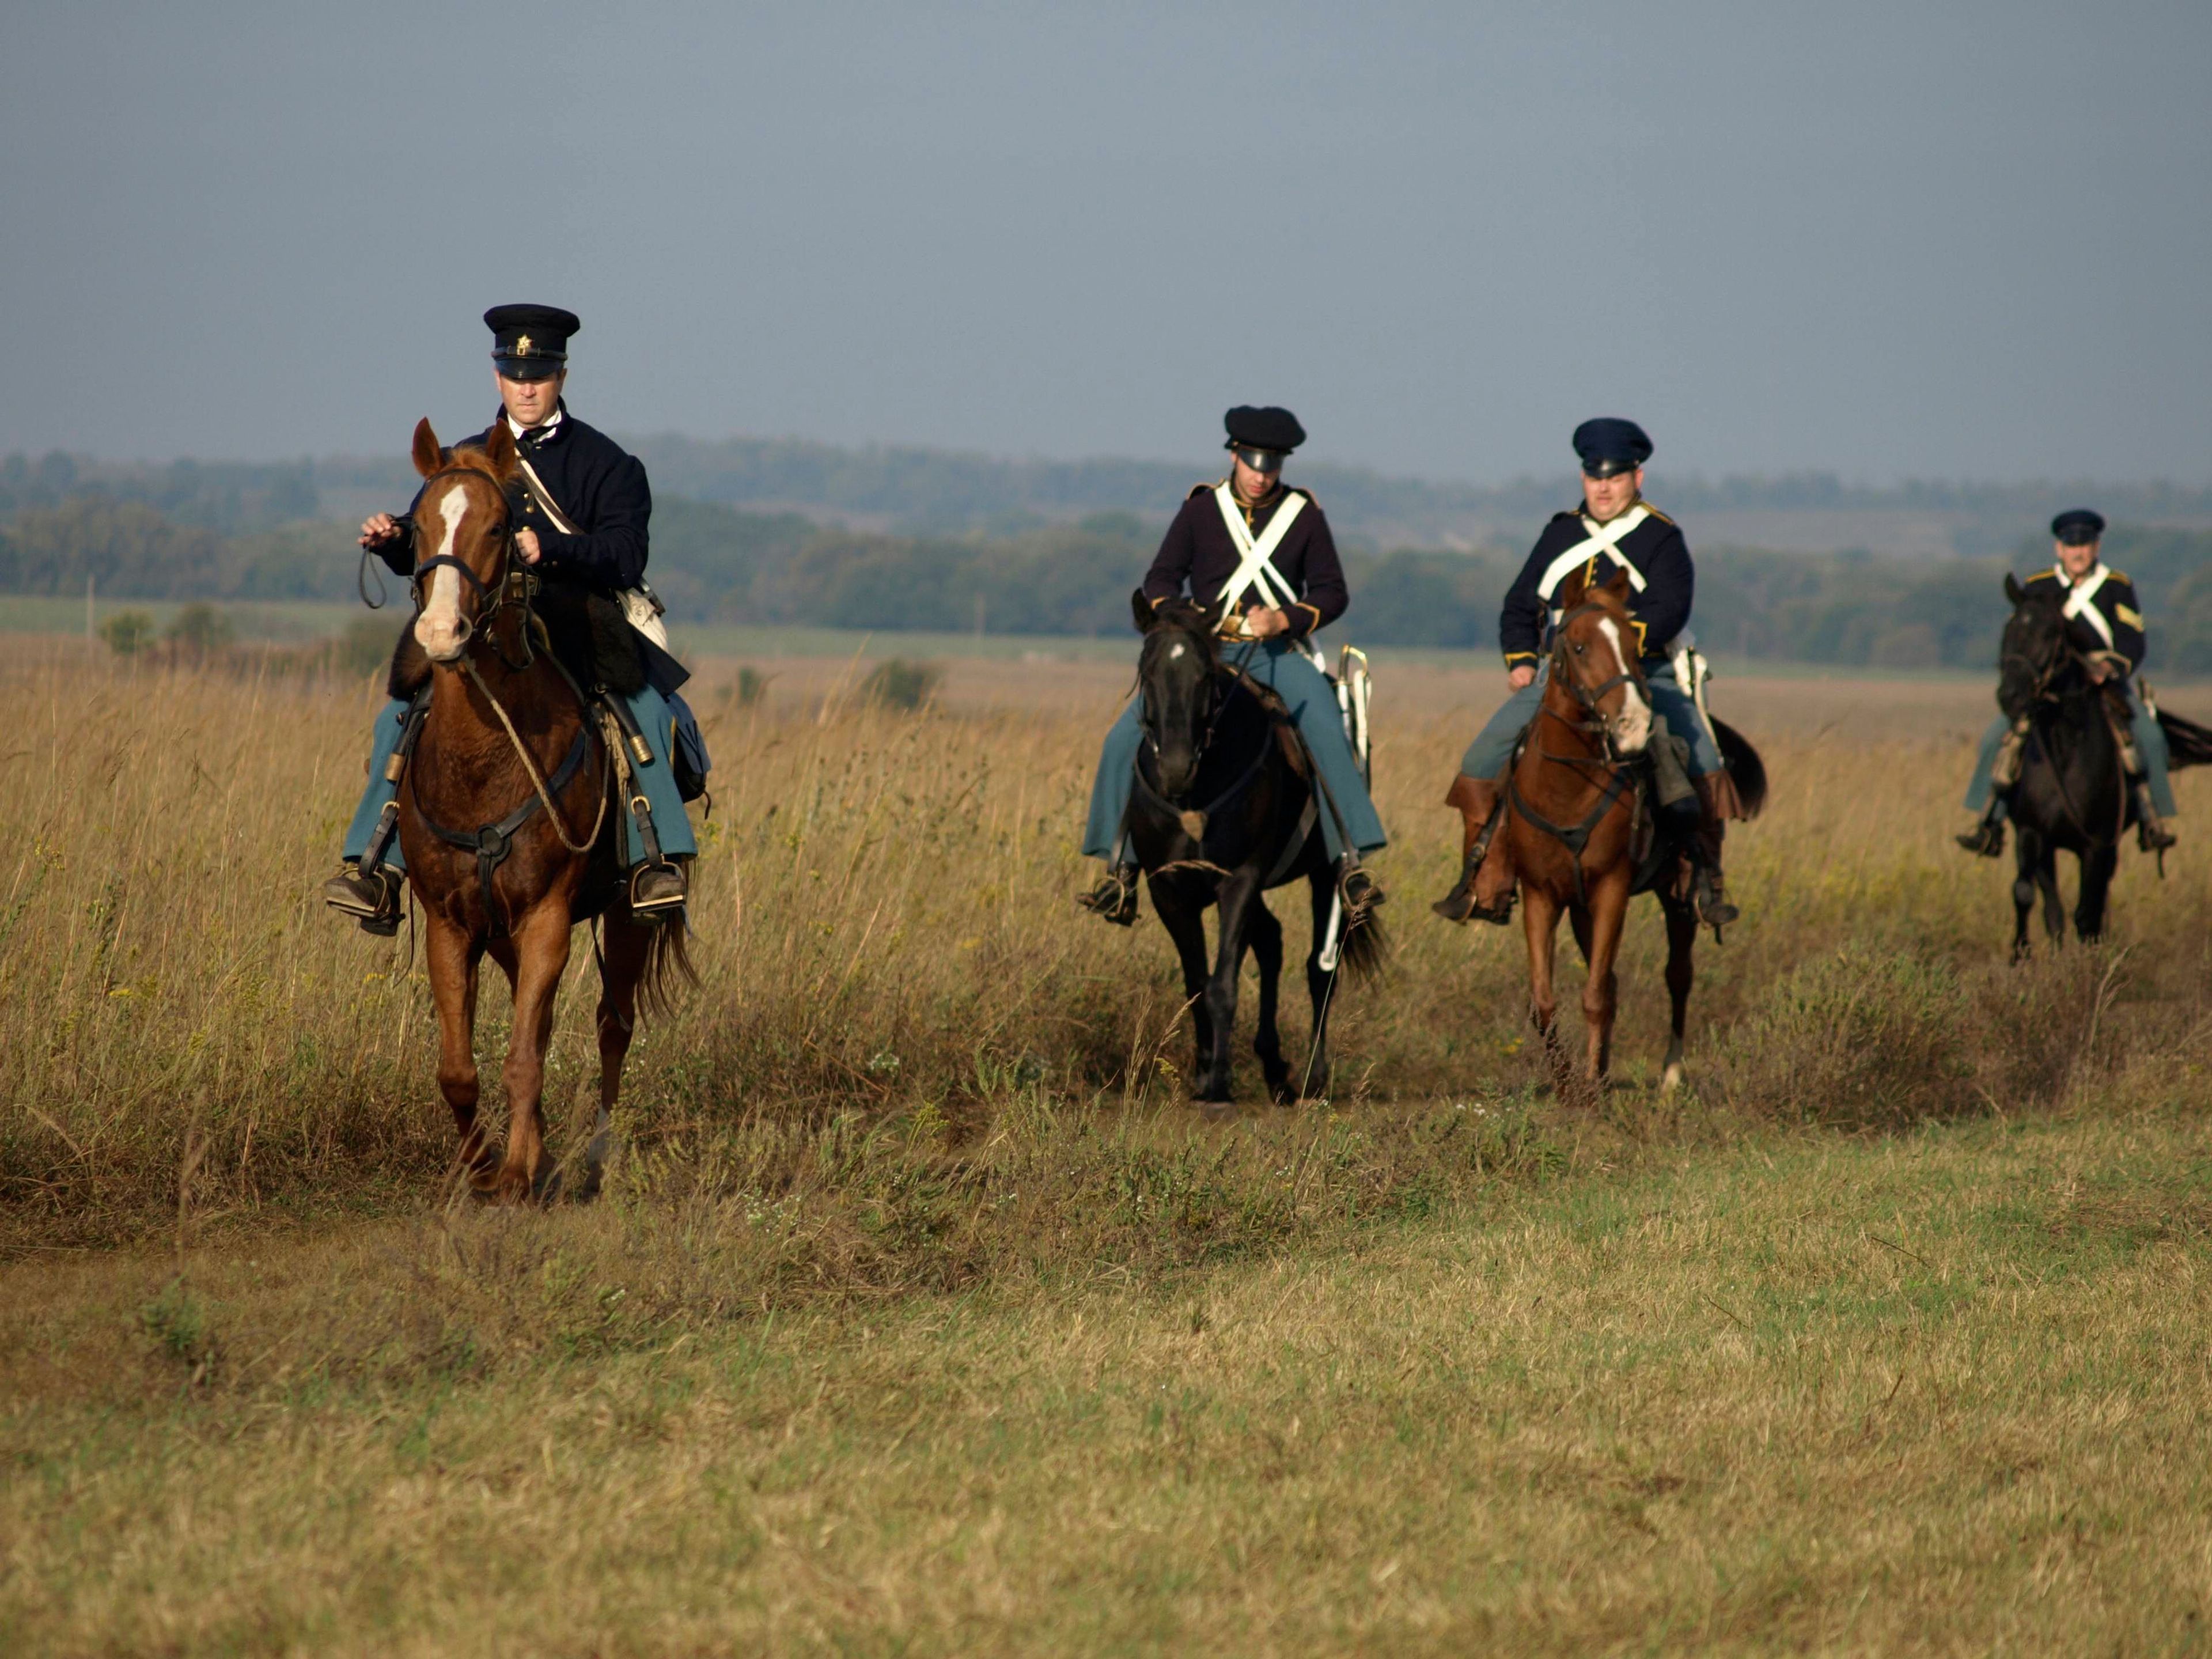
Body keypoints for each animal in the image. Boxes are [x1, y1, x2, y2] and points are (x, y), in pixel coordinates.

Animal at [389, 425, 681, 1212]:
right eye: (416, 526)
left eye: (499, 526)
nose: (441, 631)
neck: (483, 758)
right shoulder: (451, 922)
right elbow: (459, 1068)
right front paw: (486, 1168)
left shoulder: (549, 913)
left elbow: (526, 1052)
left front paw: (521, 1174)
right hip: (501, 932)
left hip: (627, 912)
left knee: (612, 1024)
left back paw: (593, 1158)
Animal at [1132, 593, 1371, 1110]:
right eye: (1147, 670)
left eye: (1205, 675)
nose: (1176, 768)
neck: (1196, 793)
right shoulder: (1170, 891)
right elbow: (1196, 983)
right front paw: (1204, 1073)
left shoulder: (1239, 879)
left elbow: (1222, 984)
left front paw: (1218, 1084)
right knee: (1272, 941)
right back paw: (1275, 1069)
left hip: (1325, 874)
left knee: (1320, 969)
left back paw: (1311, 1077)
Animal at [1495, 570, 1770, 1106]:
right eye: (1579, 646)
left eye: (1631, 644)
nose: (1633, 726)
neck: (1567, 789)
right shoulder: (1543, 895)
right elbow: (1545, 1000)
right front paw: (1569, 1084)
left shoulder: (1612, 890)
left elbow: (1596, 995)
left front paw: (1589, 1090)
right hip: (1581, 908)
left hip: (1676, 897)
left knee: (1677, 976)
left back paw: (1670, 1074)